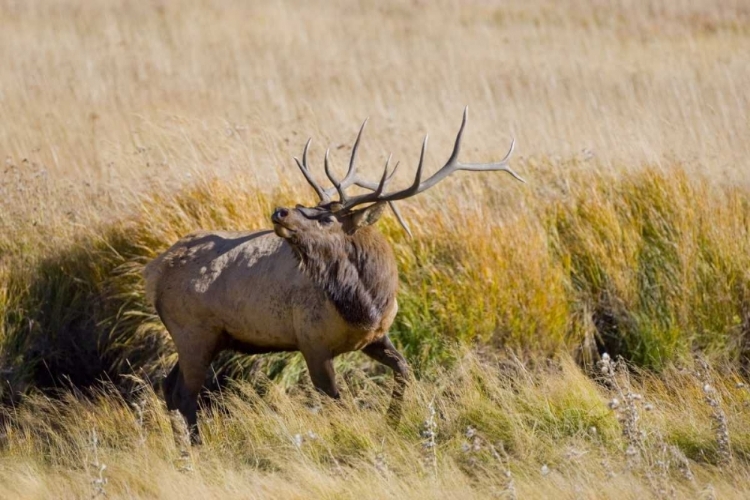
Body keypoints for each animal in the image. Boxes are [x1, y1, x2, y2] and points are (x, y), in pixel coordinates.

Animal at [144, 108, 524, 442]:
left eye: (325, 216)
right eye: (309, 207)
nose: (280, 211)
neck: (364, 304)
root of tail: (153, 272)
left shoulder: (373, 337)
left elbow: (404, 370)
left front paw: (393, 422)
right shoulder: (311, 341)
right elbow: (338, 401)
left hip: (204, 338)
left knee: (169, 386)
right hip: (193, 332)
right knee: (185, 394)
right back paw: (196, 447)